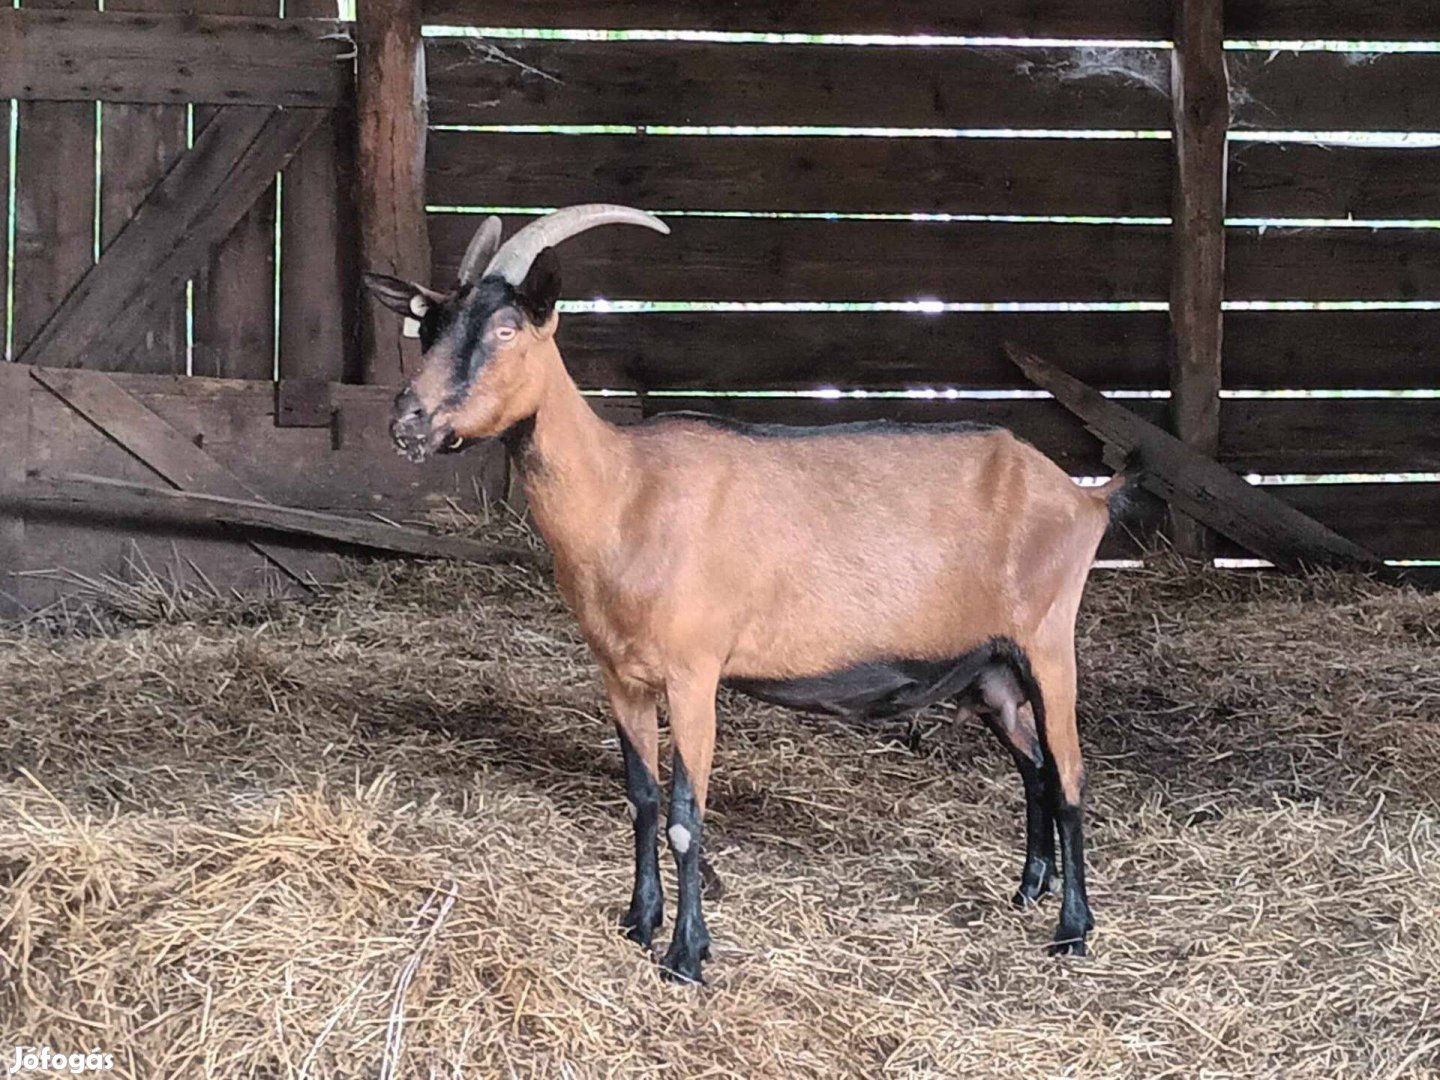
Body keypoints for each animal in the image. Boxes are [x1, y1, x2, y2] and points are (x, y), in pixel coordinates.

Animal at [365, 204, 1117, 990]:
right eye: (428, 324)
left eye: (507, 328)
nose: (409, 421)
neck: (626, 493)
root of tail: (1083, 498)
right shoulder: (621, 675)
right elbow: (641, 799)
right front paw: (639, 922)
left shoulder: (695, 673)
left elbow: (685, 816)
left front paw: (686, 958)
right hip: (991, 668)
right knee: (1034, 764)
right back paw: (1029, 888)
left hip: (1047, 641)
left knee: (1070, 774)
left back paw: (1072, 929)